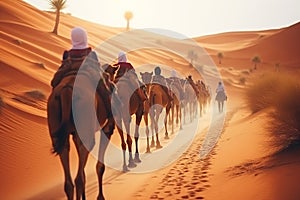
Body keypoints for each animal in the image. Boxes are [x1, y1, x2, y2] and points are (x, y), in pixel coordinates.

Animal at [47, 56, 115, 200]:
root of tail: (67, 91)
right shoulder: (107, 128)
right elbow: (100, 166)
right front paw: (100, 197)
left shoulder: (75, 134)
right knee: (79, 178)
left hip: (58, 125)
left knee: (69, 181)